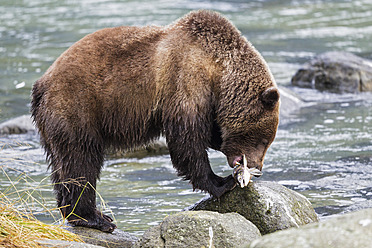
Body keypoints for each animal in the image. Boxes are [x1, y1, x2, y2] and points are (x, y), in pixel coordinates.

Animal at [30, 9, 280, 233]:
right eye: (264, 139)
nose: (257, 167)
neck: (218, 71)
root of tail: (42, 83)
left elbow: (206, 134)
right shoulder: (185, 79)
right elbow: (186, 140)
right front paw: (222, 182)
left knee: (61, 164)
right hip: (76, 107)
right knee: (80, 160)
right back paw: (96, 218)